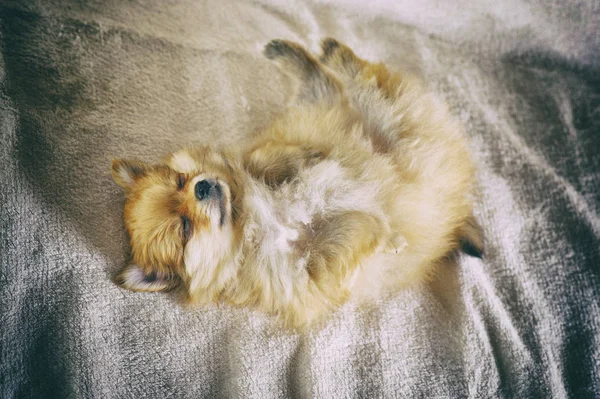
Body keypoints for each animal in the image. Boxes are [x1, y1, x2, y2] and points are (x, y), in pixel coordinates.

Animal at [110, 39, 482, 330]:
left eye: (181, 180)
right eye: (185, 228)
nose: (201, 187)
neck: (250, 218)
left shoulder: (263, 153)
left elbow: (262, 158)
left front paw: (296, 161)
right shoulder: (311, 272)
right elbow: (347, 234)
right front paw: (386, 235)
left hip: (365, 108)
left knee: (341, 77)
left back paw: (307, 51)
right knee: (340, 80)